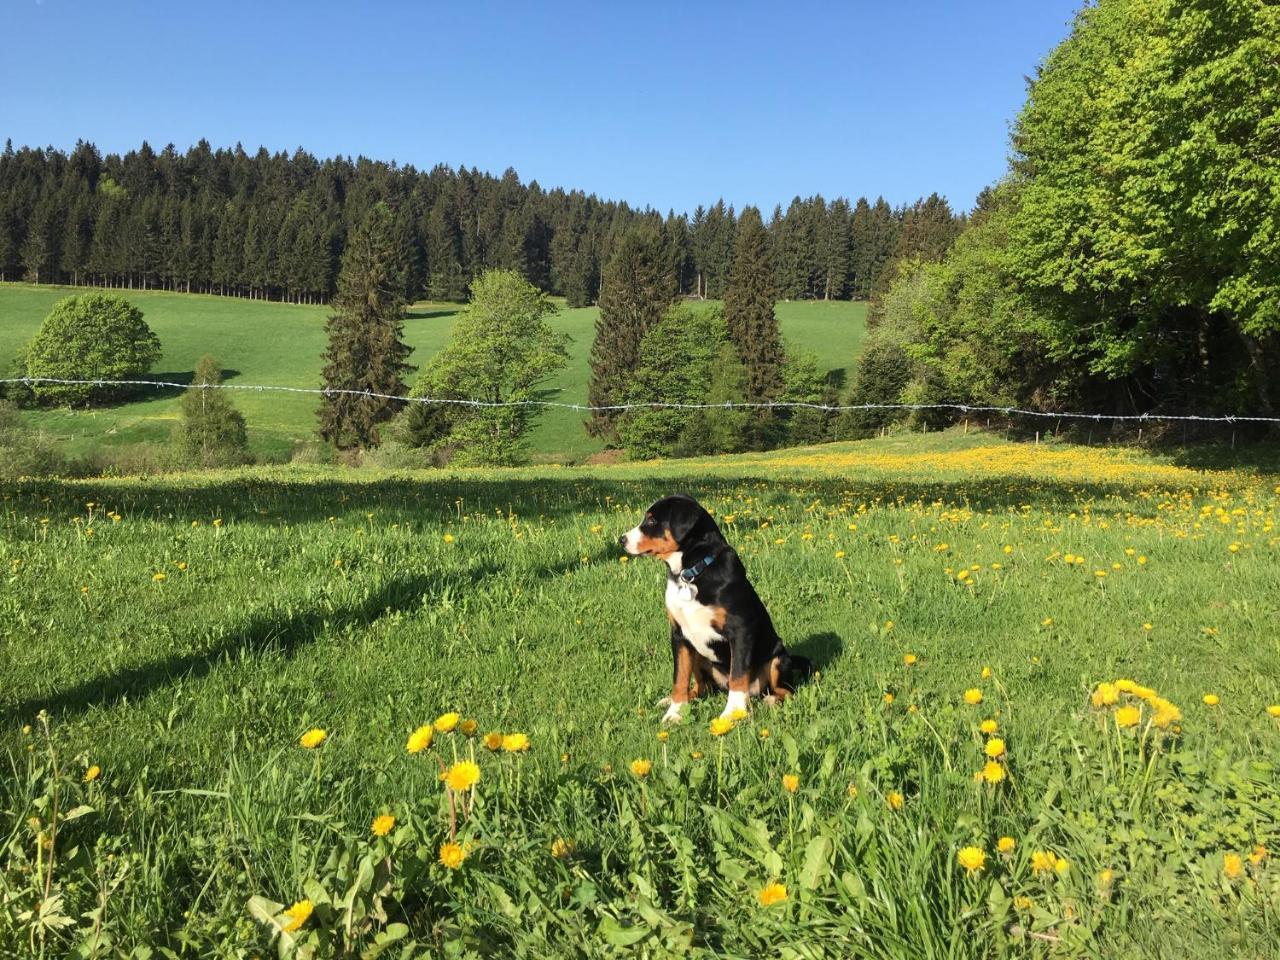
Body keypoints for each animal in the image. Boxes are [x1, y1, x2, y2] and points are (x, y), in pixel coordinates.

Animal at [616, 496, 808, 721]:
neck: (691, 573)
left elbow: (738, 675)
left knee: (783, 690)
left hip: (777, 659)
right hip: (699, 654)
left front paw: (733, 713)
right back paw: (670, 700)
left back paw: (770, 701)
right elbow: (679, 677)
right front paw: (675, 712)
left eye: (653, 520)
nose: (621, 539)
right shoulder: (679, 635)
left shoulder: (740, 630)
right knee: (703, 687)